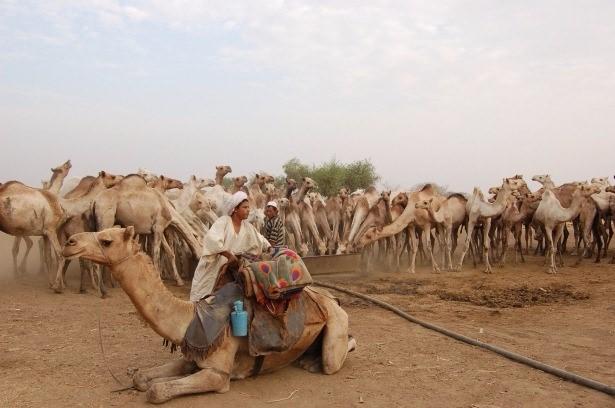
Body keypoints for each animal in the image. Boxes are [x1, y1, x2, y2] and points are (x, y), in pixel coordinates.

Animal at [61, 228, 356, 404]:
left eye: (106, 240)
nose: (69, 242)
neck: (189, 319)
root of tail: (333, 300)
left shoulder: (217, 374)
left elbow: (157, 390)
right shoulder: (192, 354)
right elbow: (143, 379)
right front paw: (146, 378)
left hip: (336, 324)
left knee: (336, 356)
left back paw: (316, 363)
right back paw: (307, 360)